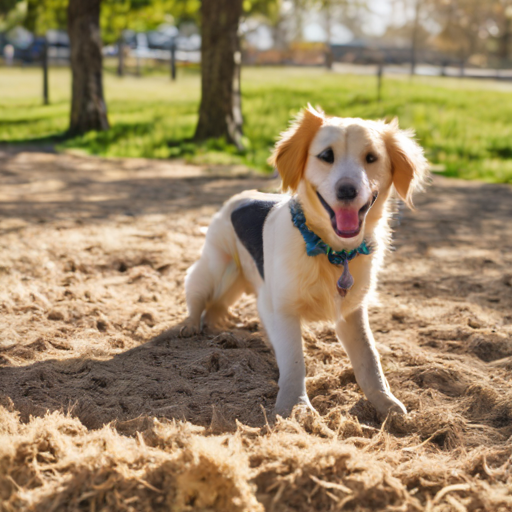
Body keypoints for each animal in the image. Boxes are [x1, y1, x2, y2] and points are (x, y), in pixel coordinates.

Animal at [180, 106, 428, 418]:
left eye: (371, 158)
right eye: (326, 155)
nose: (347, 190)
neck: (334, 253)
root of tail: (239, 197)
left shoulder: (352, 312)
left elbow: (369, 359)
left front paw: (386, 403)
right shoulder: (282, 310)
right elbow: (294, 360)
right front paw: (294, 408)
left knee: (217, 307)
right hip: (214, 270)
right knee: (197, 296)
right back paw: (191, 324)